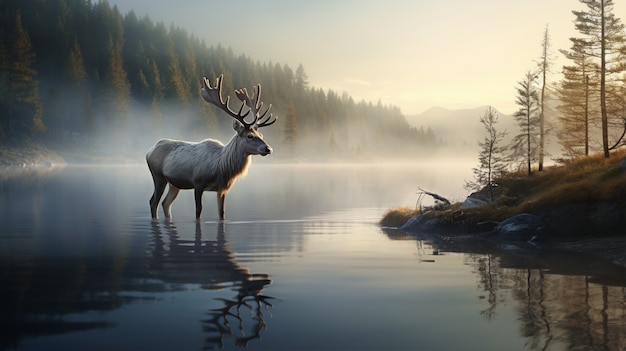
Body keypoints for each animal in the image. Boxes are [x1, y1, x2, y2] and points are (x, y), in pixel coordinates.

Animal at [146, 75, 276, 220]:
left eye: (261, 134)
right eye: (249, 136)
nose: (268, 149)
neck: (222, 167)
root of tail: (149, 151)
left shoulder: (222, 188)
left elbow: (222, 212)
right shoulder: (198, 182)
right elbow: (198, 211)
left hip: (174, 184)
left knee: (165, 203)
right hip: (158, 176)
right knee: (153, 202)